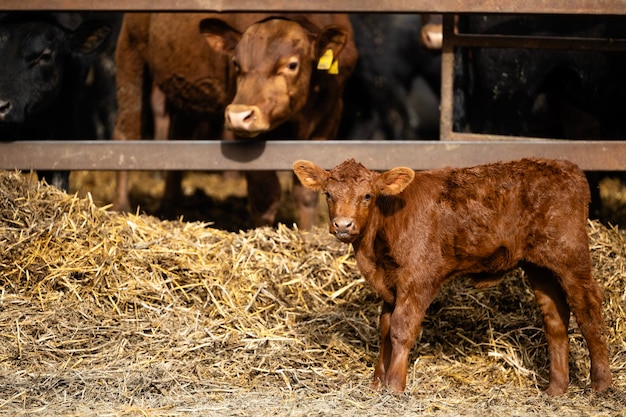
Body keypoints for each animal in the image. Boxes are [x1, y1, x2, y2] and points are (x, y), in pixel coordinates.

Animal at [112, 13, 356, 228]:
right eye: (236, 63)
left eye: (292, 65)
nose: (238, 115)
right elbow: (265, 195)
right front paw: (263, 233)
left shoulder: (328, 120)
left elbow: (306, 193)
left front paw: (308, 233)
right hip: (131, 54)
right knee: (126, 133)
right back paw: (121, 207)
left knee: (178, 143)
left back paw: (169, 208)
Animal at [292, 156, 608, 394]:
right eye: (328, 194)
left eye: (368, 195)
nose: (343, 225)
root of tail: (567, 167)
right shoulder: (390, 285)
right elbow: (384, 329)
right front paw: (376, 384)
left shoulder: (418, 279)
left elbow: (401, 329)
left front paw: (394, 386)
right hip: (540, 267)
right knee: (555, 318)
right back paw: (556, 389)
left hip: (571, 257)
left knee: (589, 308)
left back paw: (601, 385)